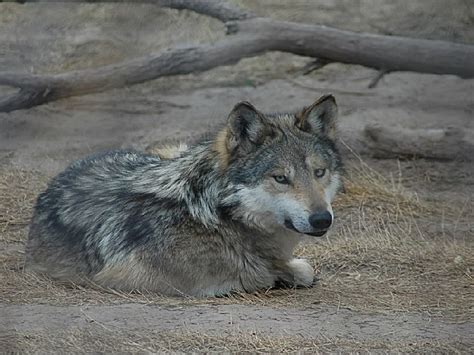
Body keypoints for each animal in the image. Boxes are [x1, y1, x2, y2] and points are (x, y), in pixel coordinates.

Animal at [25, 94, 340, 298]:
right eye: (280, 178)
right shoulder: (126, 276)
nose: (322, 219)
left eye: (319, 172)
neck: (216, 217)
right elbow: (256, 276)